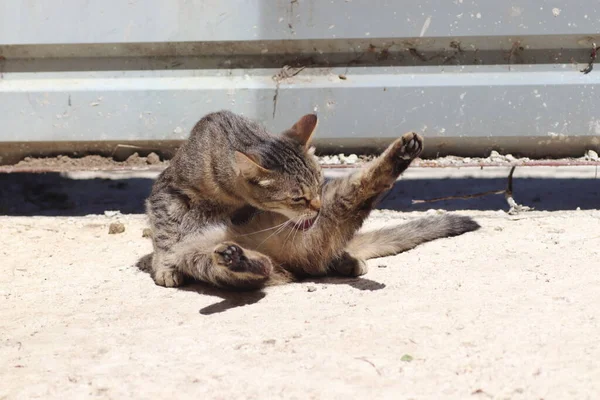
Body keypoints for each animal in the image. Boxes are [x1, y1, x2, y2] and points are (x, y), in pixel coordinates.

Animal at [142, 111, 478, 290]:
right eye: (298, 198)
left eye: (318, 184)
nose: (315, 208)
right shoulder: (168, 189)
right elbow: (165, 231)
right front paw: (164, 264)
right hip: (205, 260)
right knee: (255, 268)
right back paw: (235, 256)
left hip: (334, 208)